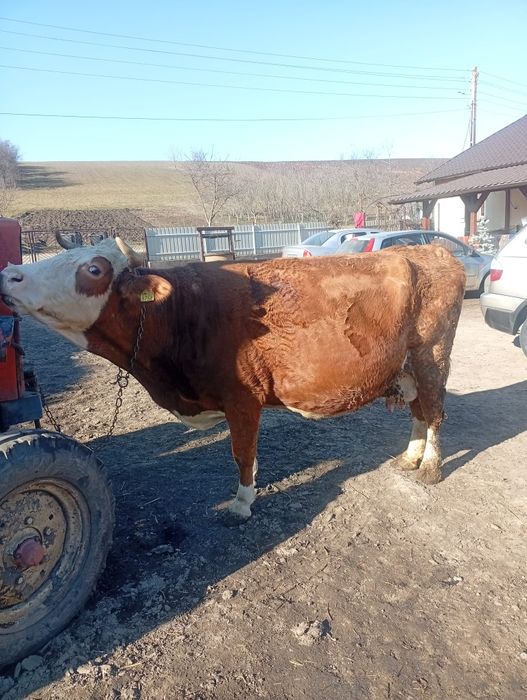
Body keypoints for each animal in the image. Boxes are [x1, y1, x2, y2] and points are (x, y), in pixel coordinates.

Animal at [0, 238, 465, 520]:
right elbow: (248, 452)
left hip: (432, 356)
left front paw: (242, 502)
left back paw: (429, 468)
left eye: (94, 269)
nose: (8, 274)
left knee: (435, 412)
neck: (181, 312)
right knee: (418, 411)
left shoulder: (242, 398)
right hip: (407, 366)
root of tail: (431, 249)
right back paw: (409, 457)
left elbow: (241, 453)